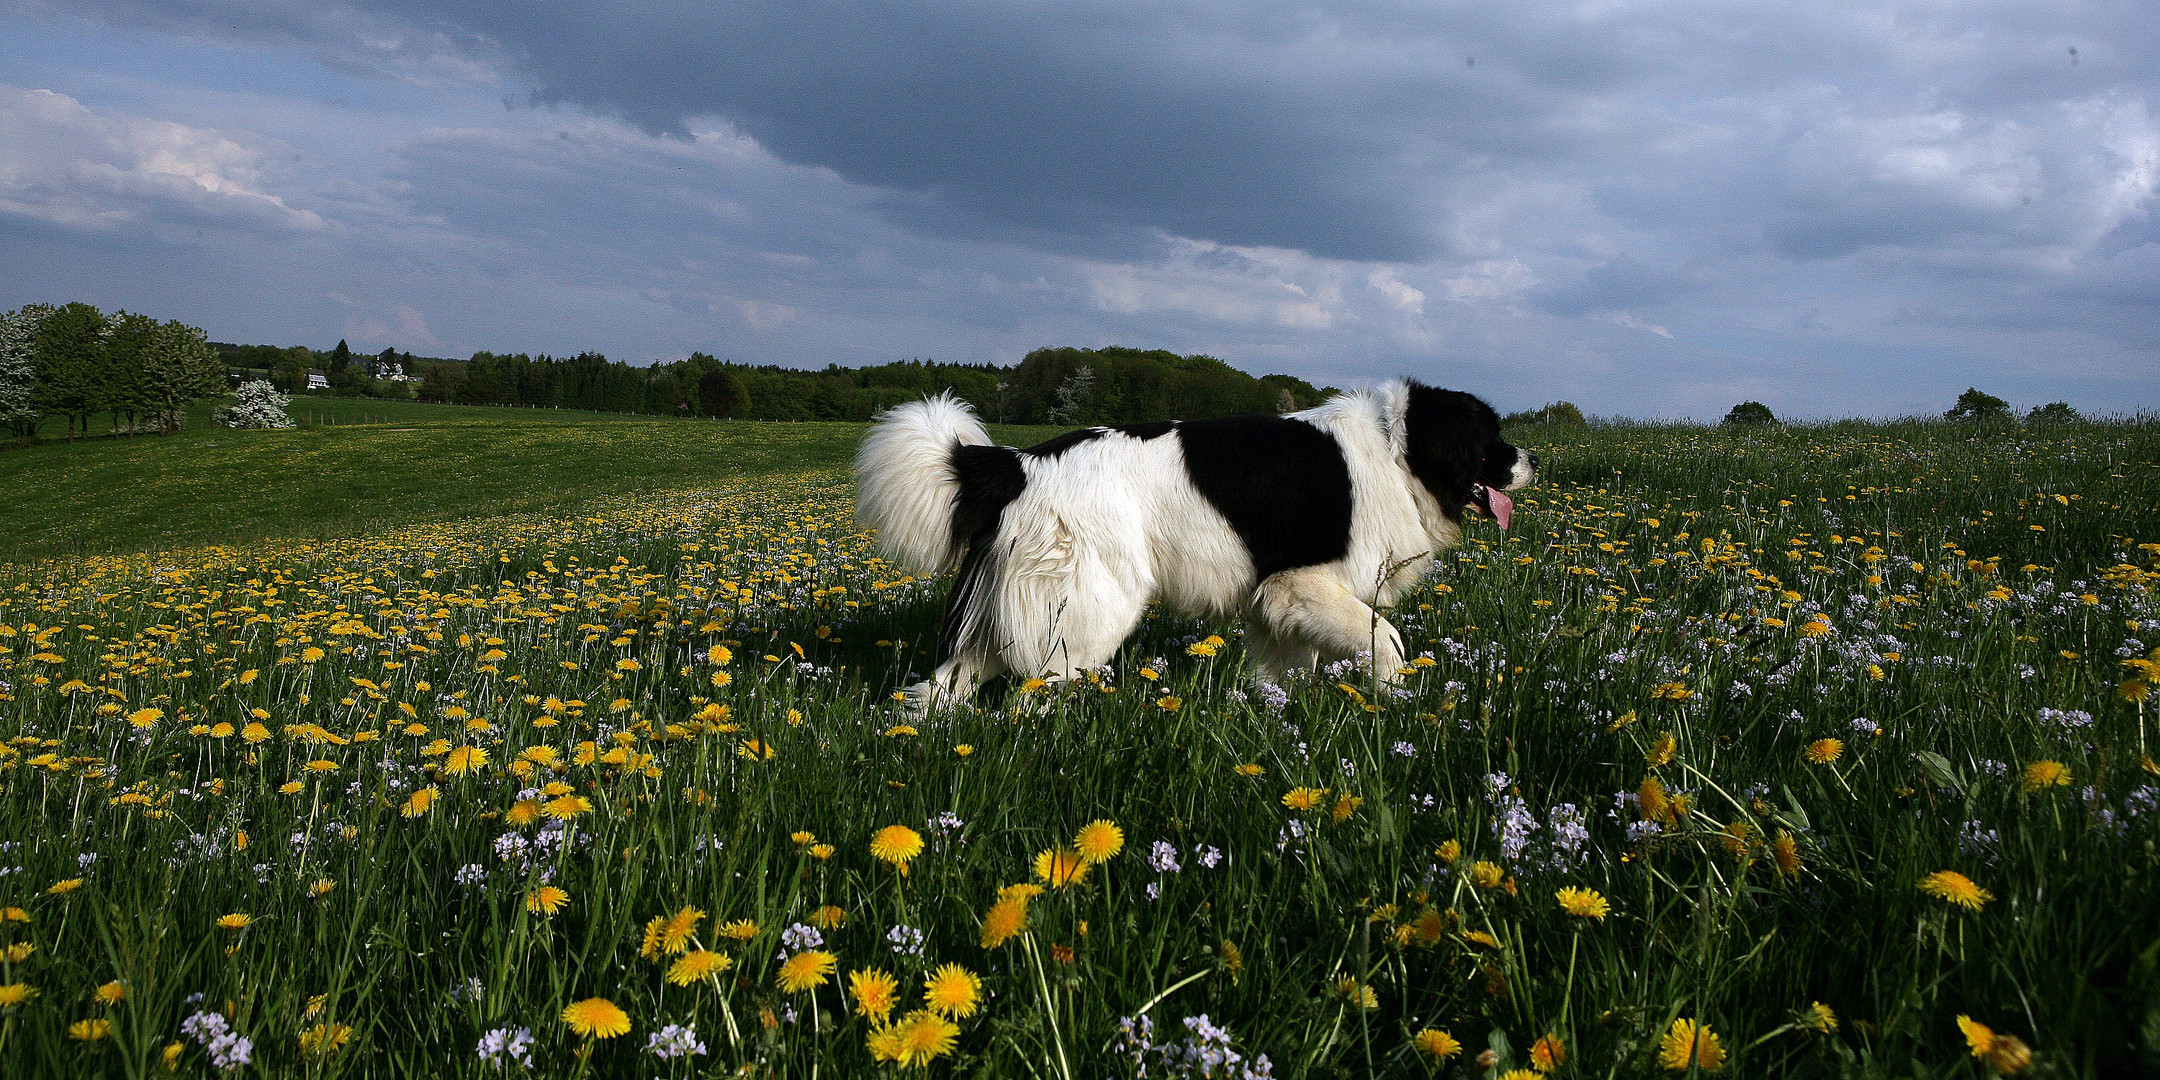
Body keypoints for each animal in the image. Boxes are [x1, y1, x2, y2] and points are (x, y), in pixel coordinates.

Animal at [851, 380, 1529, 708]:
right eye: (1490, 438)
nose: (1533, 461)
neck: (1398, 450)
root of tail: (1018, 463)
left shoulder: (1277, 605)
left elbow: (1288, 673)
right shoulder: (1302, 581)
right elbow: (1386, 640)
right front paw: (1396, 702)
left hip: (1016, 610)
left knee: (943, 687)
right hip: (1093, 608)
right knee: (1031, 699)